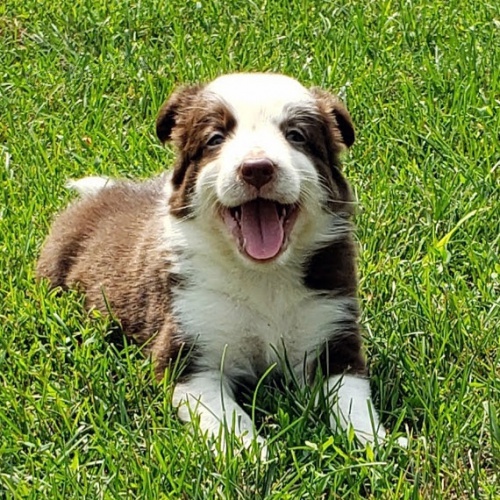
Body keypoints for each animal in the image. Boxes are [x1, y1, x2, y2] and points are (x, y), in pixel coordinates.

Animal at [37, 73, 389, 453]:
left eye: (296, 135)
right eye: (215, 139)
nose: (257, 169)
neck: (261, 275)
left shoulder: (333, 330)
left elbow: (353, 398)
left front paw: (374, 443)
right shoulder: (190, 351)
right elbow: (226, 415)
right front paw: (248, 451)